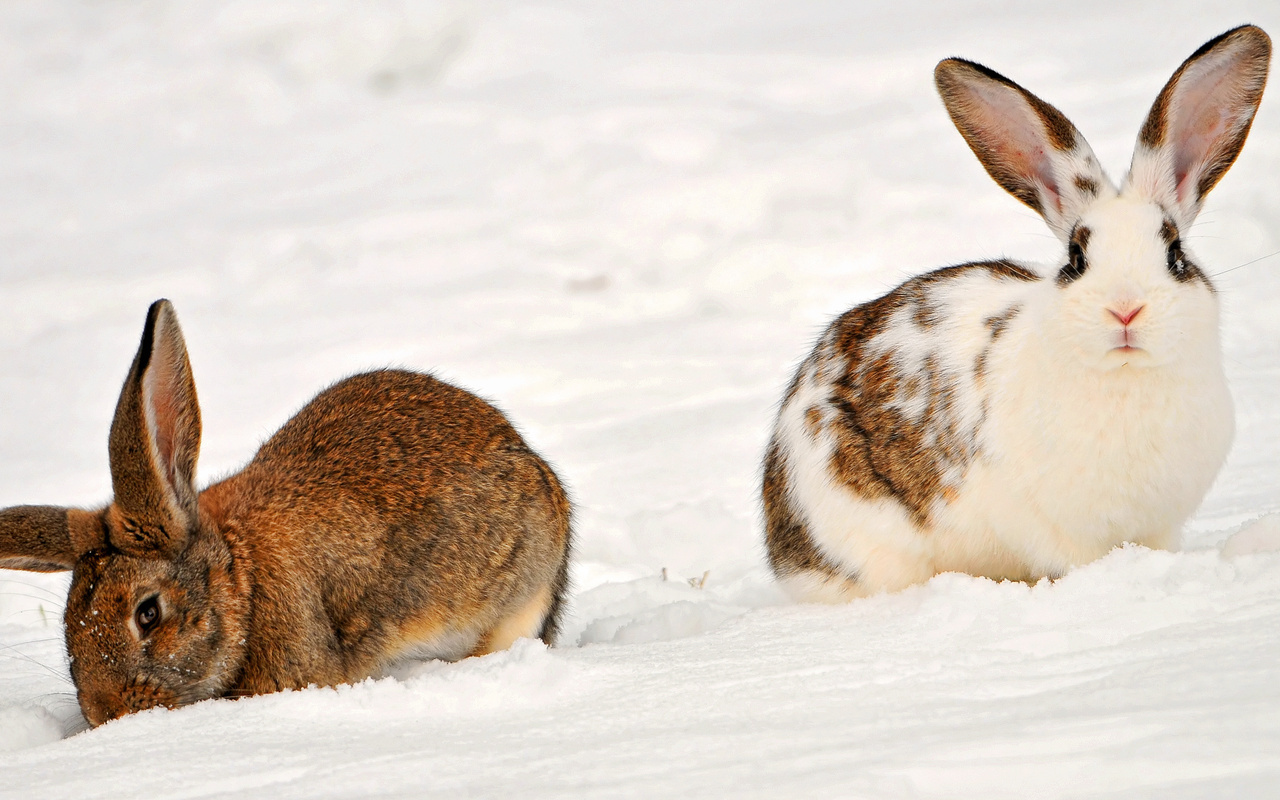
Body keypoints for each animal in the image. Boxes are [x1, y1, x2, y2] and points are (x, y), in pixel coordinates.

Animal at [762, 23, 1264, 599]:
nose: (1125, 311)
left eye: (1175, 253)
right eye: (1076, 258)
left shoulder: (1159, 524)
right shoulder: (1053, 529)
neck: (1125, 378)